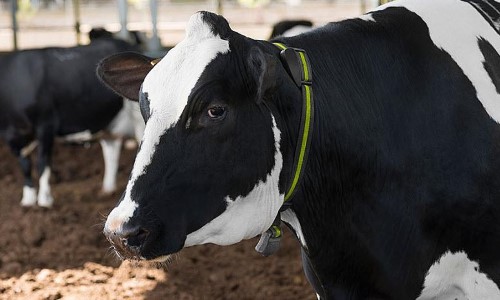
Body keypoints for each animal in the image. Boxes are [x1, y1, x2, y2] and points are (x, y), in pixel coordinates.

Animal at [0, 29, 145, 209]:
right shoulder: (10, 135)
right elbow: (25, 165)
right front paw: (27, 199)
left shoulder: (46, 124)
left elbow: (42, 163)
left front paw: (44, 200)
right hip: (108, 122)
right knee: (111, 149)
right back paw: (107, 189)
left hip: (136, 117)